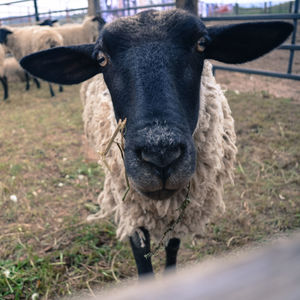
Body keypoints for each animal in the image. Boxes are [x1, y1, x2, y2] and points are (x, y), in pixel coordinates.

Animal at [20, 8, 292, 276]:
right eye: (101, 59)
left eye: (201, 45)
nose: (160, 154)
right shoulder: (132, 207)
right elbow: (143, 260)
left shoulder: (182, 208)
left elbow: (172, 247)